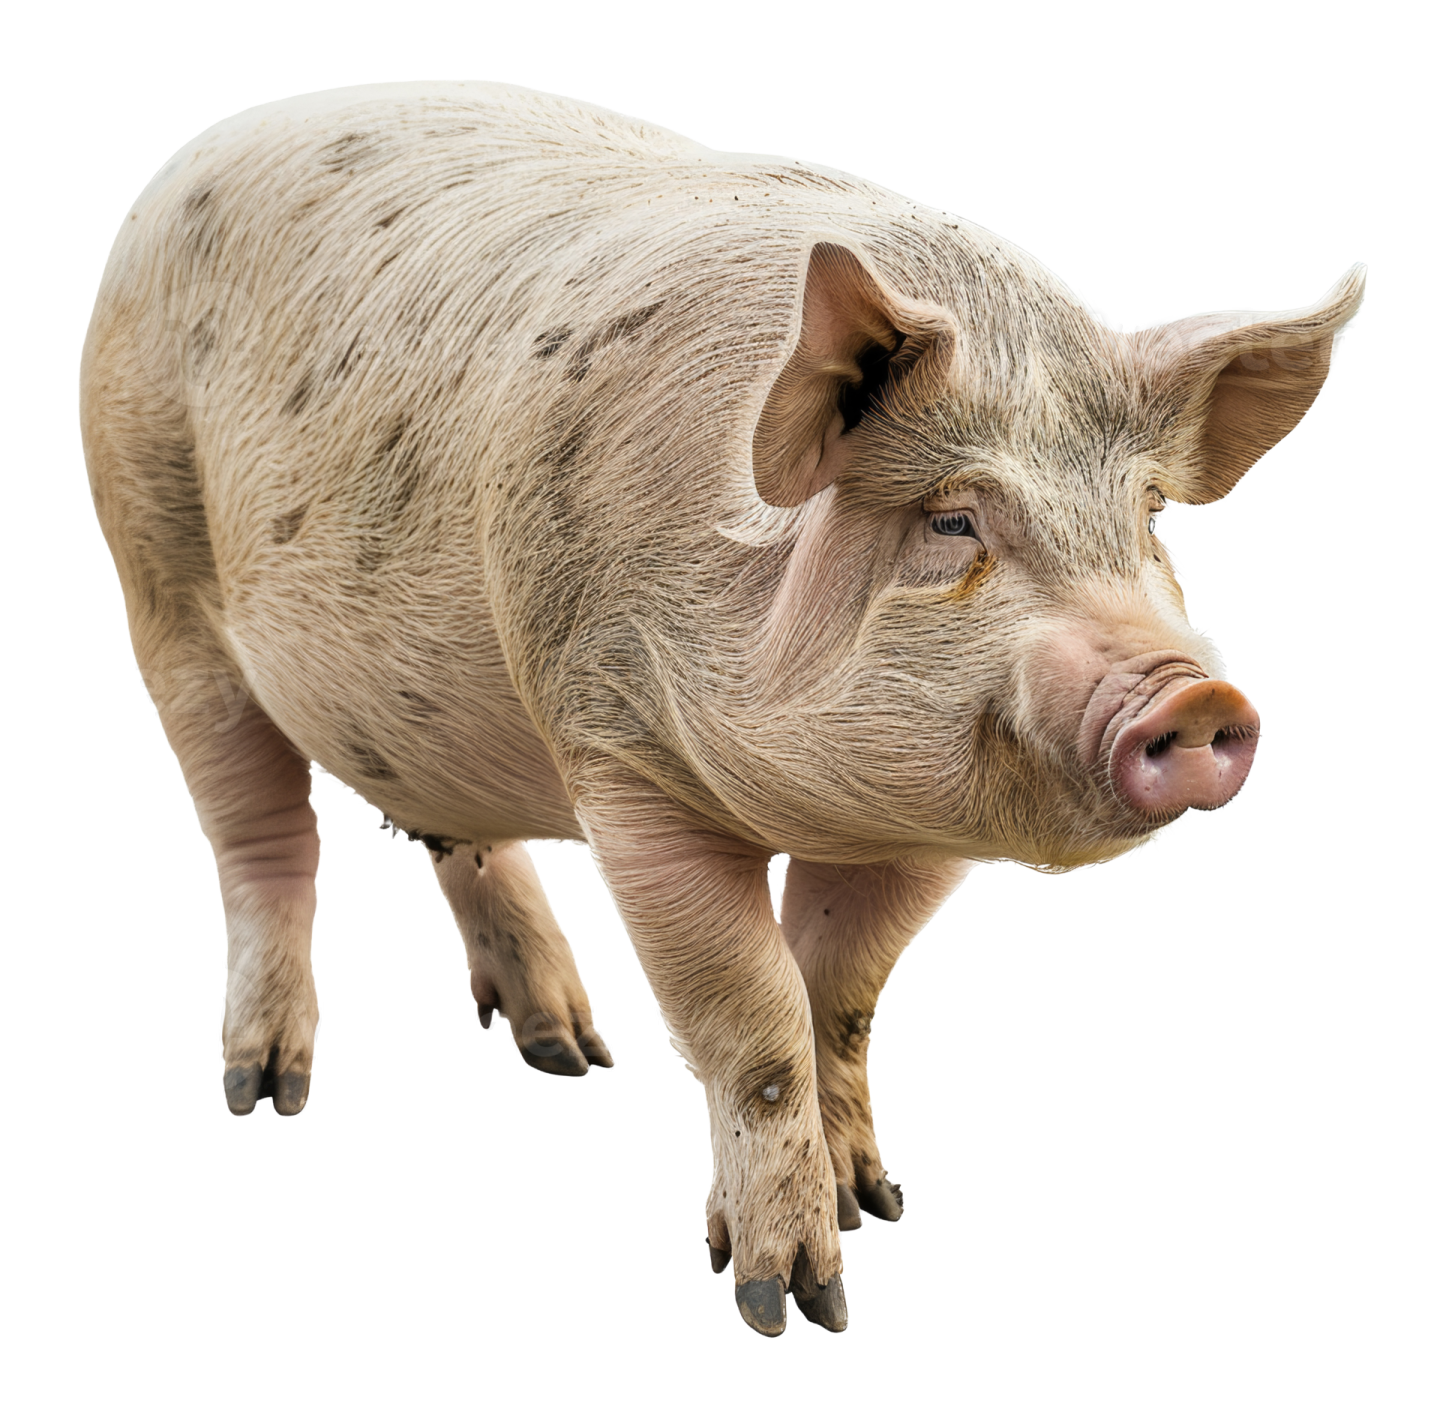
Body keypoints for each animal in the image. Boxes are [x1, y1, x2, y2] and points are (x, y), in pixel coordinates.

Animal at [79, 79, 1367, 1337]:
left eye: (1149, 517)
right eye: (954, 519)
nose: (1192, 692)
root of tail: (190, 157)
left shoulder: (914, 826)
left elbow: (838, 997)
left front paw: (876, 1203)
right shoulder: (620, 756)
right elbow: (752, 1023)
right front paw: (791, 1305)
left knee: (459, 835)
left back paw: (572, 1049)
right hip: (155, 567)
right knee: (262, 838)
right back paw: (266, 1089)